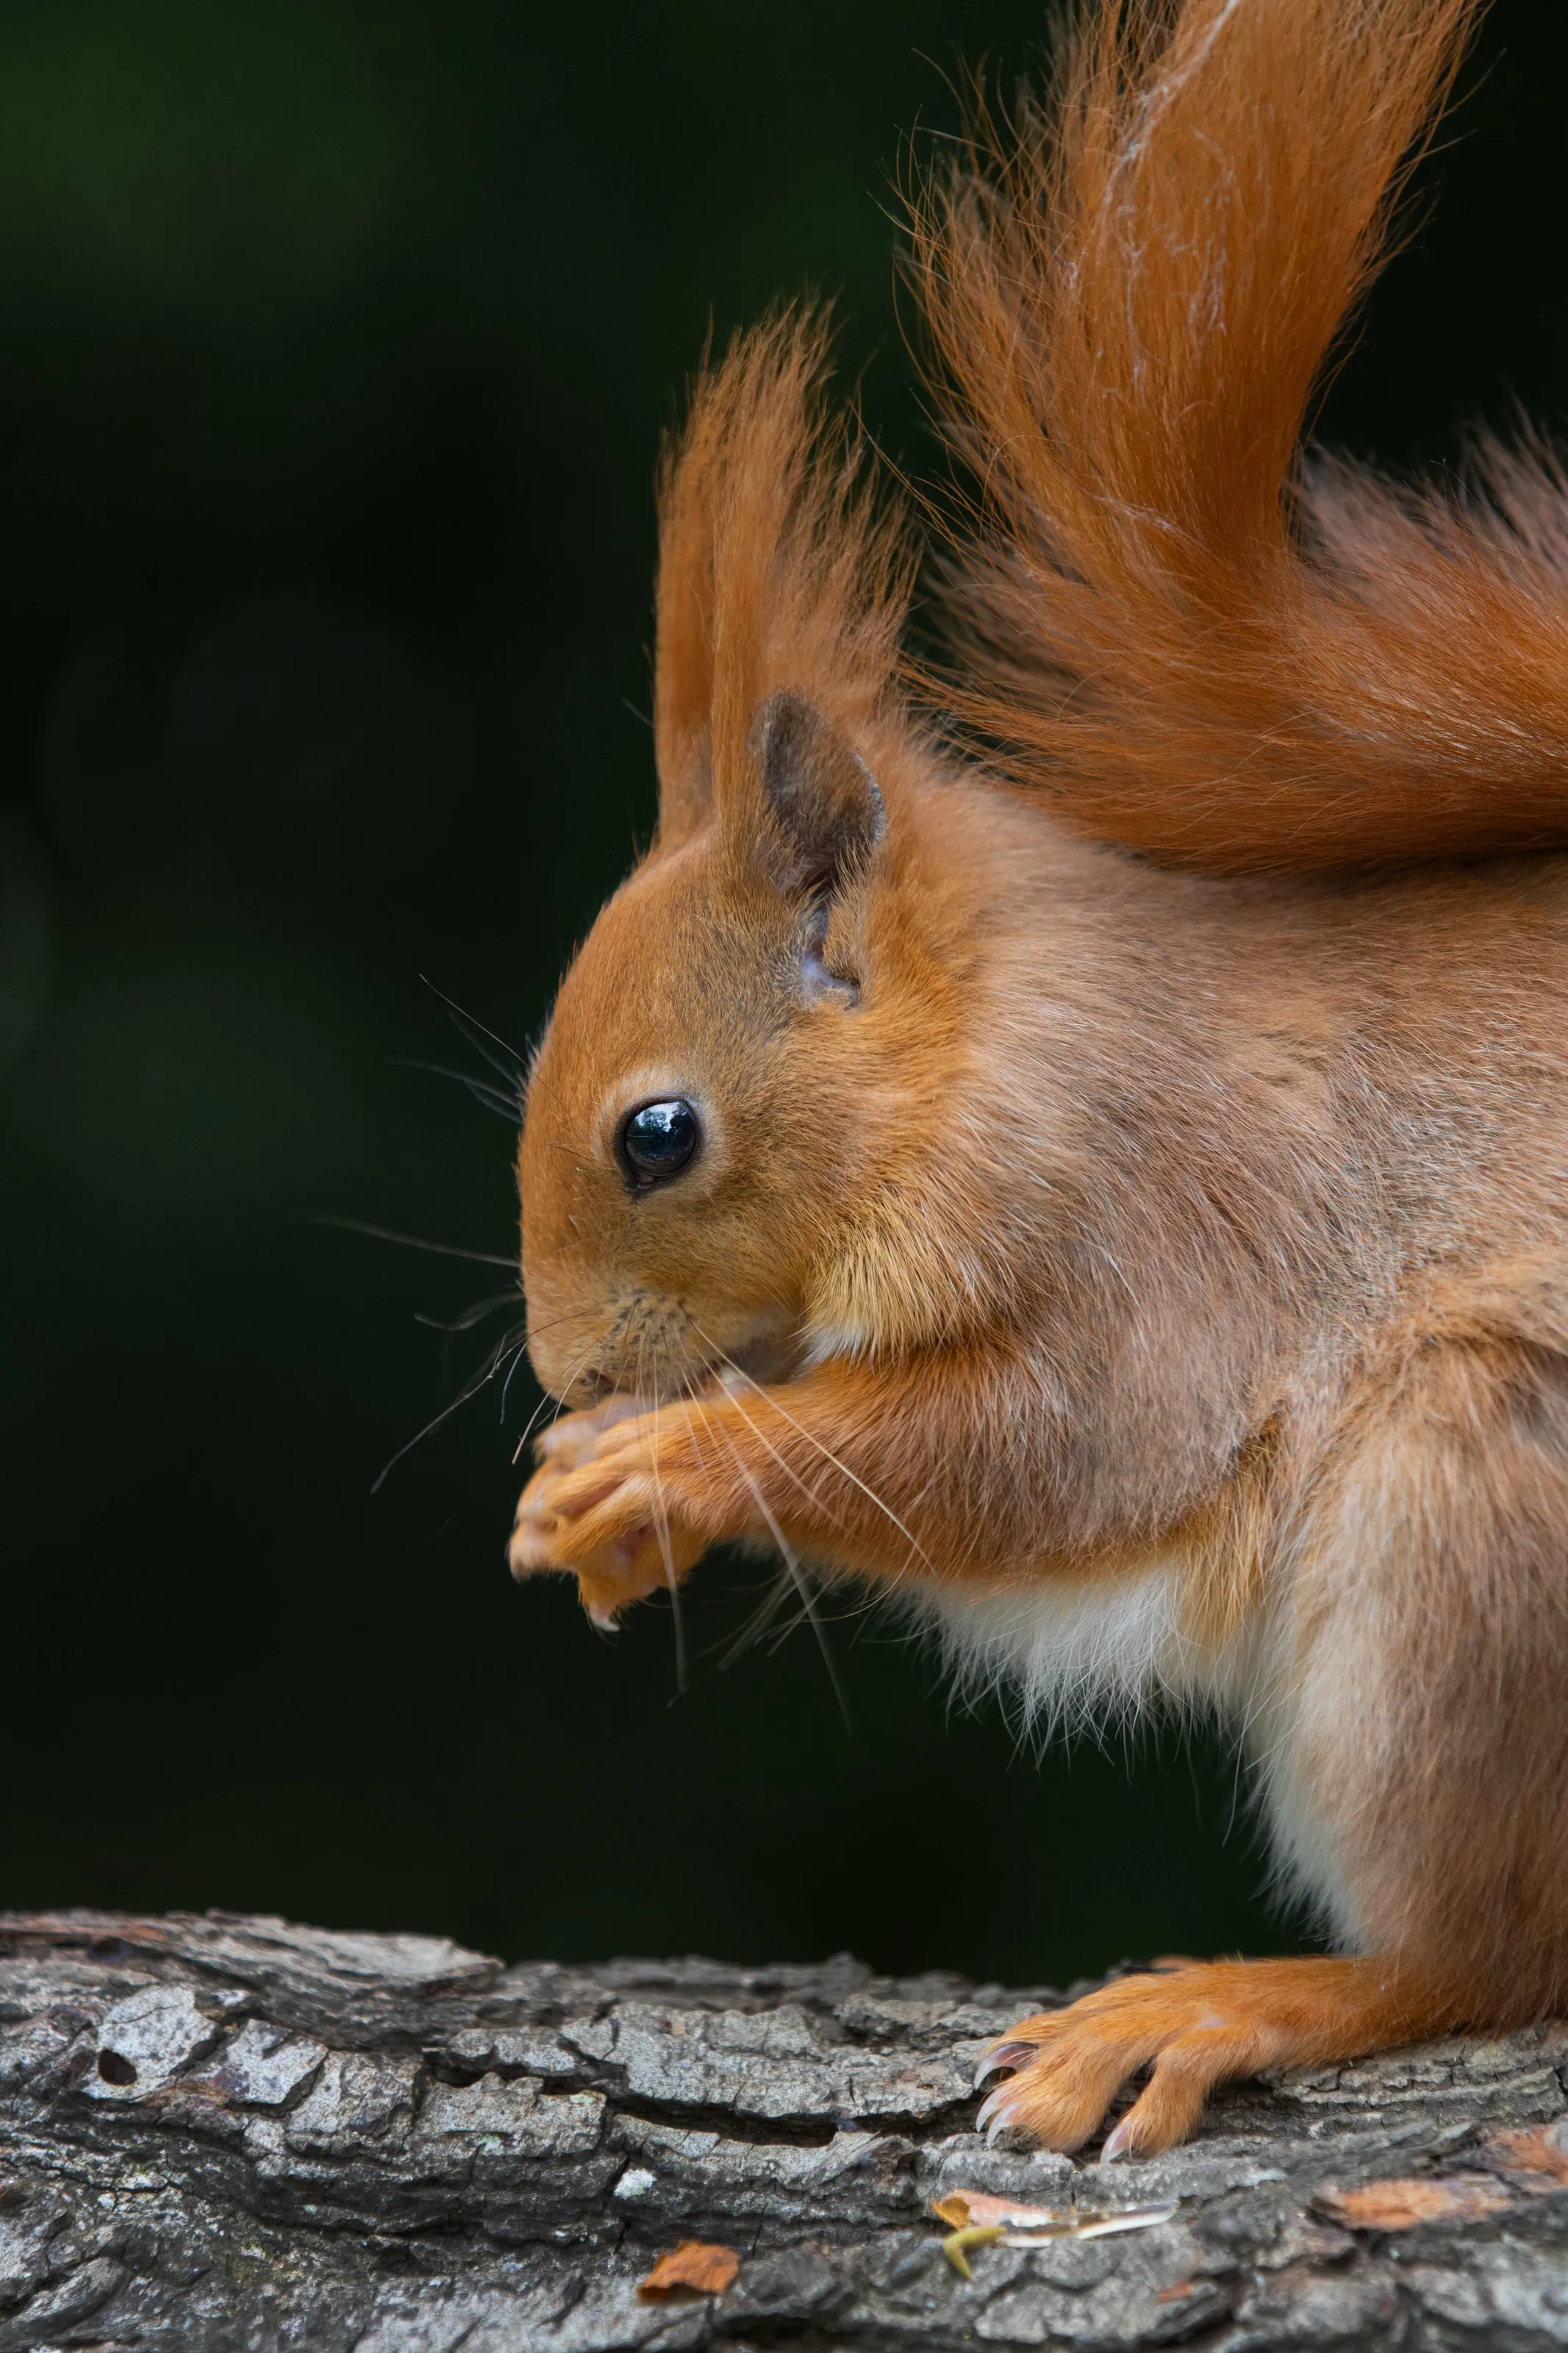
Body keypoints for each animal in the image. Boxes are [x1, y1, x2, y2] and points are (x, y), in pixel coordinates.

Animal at [507, 0, 1568, 2158]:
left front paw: (671, 1466)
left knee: (1496, 1962)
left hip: (1466, 1518)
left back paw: (1253, 1997)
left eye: (656, 1136)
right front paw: (602, 1505)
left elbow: (1057, 1446)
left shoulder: (1166, 1209)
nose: (567, 1371)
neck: (1000, 1032)